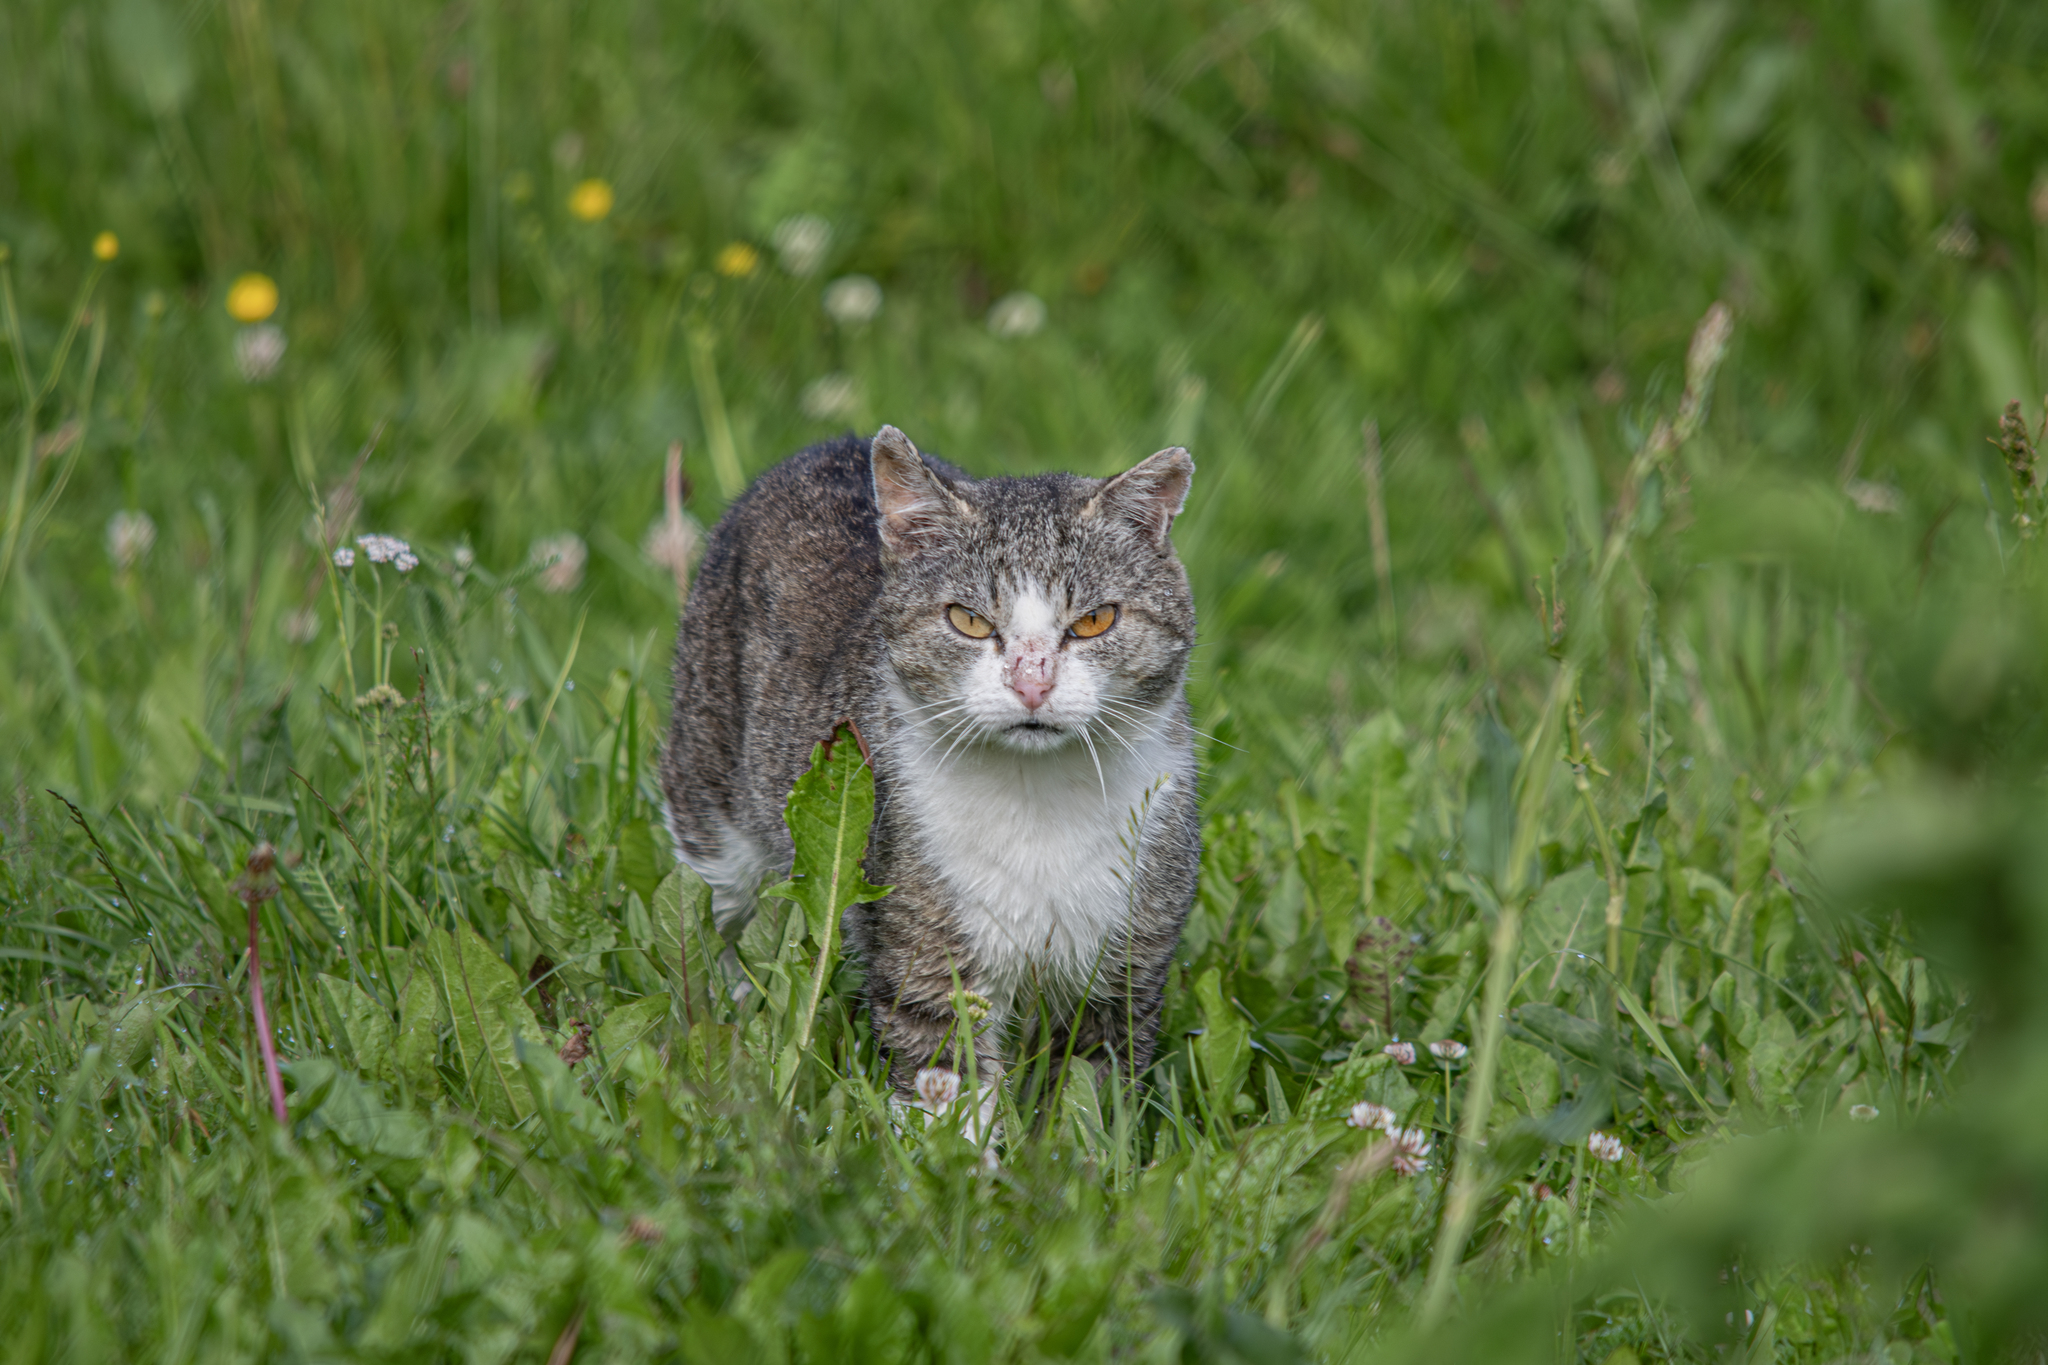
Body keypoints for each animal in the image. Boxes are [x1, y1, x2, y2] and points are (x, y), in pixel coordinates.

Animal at [655, 427, 1196, 1113]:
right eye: (968, 620)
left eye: (1096, 620)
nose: (1032, 683)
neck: (1037, 798)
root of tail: (834, 443)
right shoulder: (923, 938)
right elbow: (945, 1080)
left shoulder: (1130, 959)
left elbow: (1094, 1092)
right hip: (712, 800)